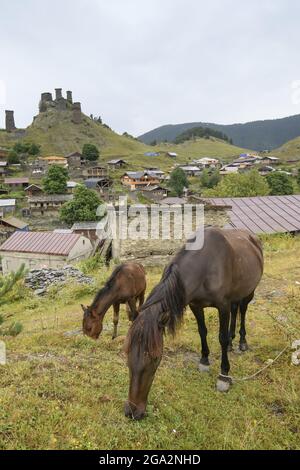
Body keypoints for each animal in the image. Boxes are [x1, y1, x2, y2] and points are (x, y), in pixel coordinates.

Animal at [124, 227, 262, 418]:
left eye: (155, 358)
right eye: (128, 354)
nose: (132, 411)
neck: (206, 266)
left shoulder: (223, 306)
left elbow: (221, 337)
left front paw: (224, 375)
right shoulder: (196, 305)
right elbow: (202, 331)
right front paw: (204, 361)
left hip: (249, 291)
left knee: (242, 310)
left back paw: (242, 342)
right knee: (236, 311)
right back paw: (232, 343)